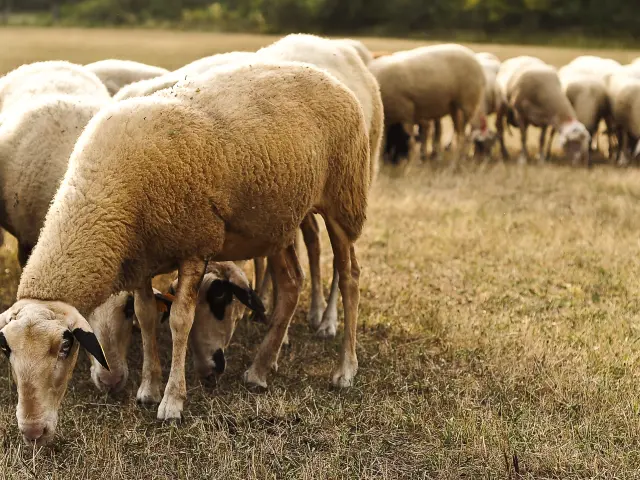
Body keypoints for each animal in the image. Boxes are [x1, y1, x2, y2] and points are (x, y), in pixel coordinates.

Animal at [0, 60, 370, 443]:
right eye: (7, 349)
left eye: (65, 346)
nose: (32, 430)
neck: (104, 197)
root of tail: (326, 76)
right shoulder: (142, 259)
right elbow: (148, 316)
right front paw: (148, 389)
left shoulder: (195, 245)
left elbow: (180, 321)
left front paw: (172, 402)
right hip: (275, 222)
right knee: (292, 284)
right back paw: (259, 369)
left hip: (343, 200)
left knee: (349, 277)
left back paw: (344, 369)